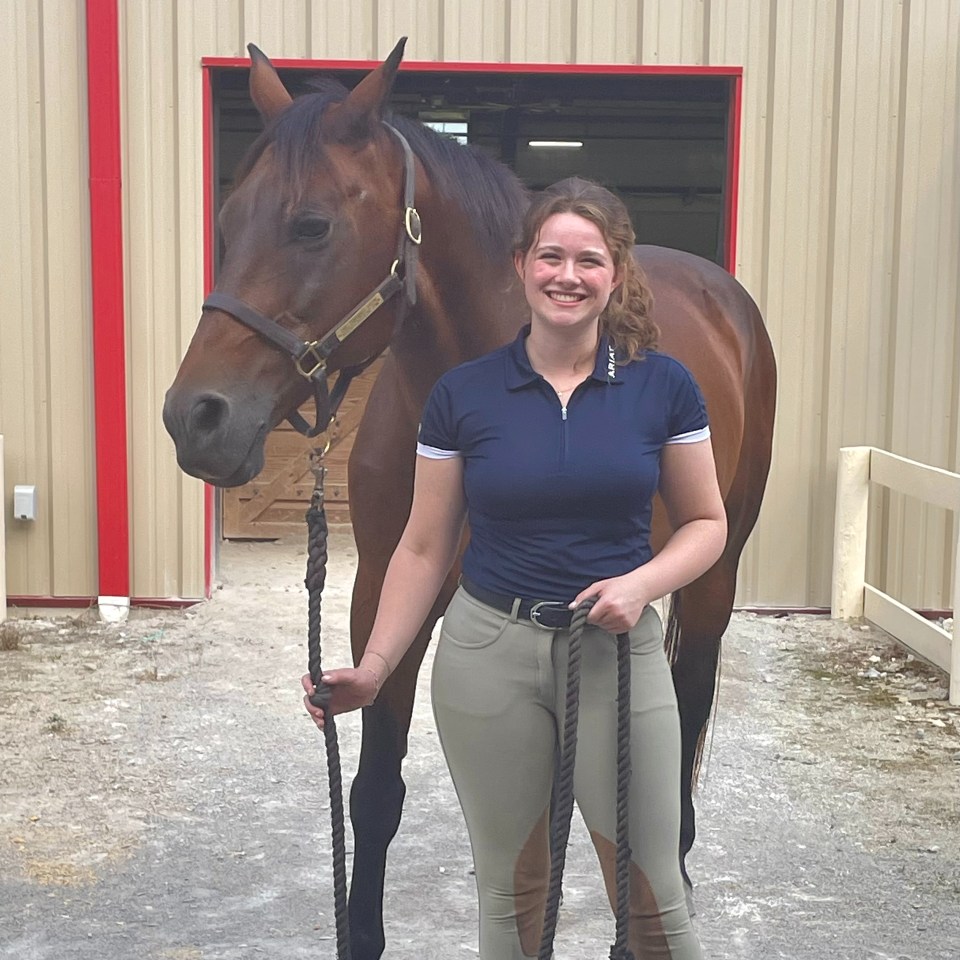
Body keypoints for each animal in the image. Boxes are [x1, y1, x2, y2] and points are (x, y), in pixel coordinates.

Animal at [161, 39, 776, 960]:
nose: (194, 419)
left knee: (687, 712)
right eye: (229, 223)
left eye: (313, 225)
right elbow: (375, 788)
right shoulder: (388, 583)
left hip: (714, 575)